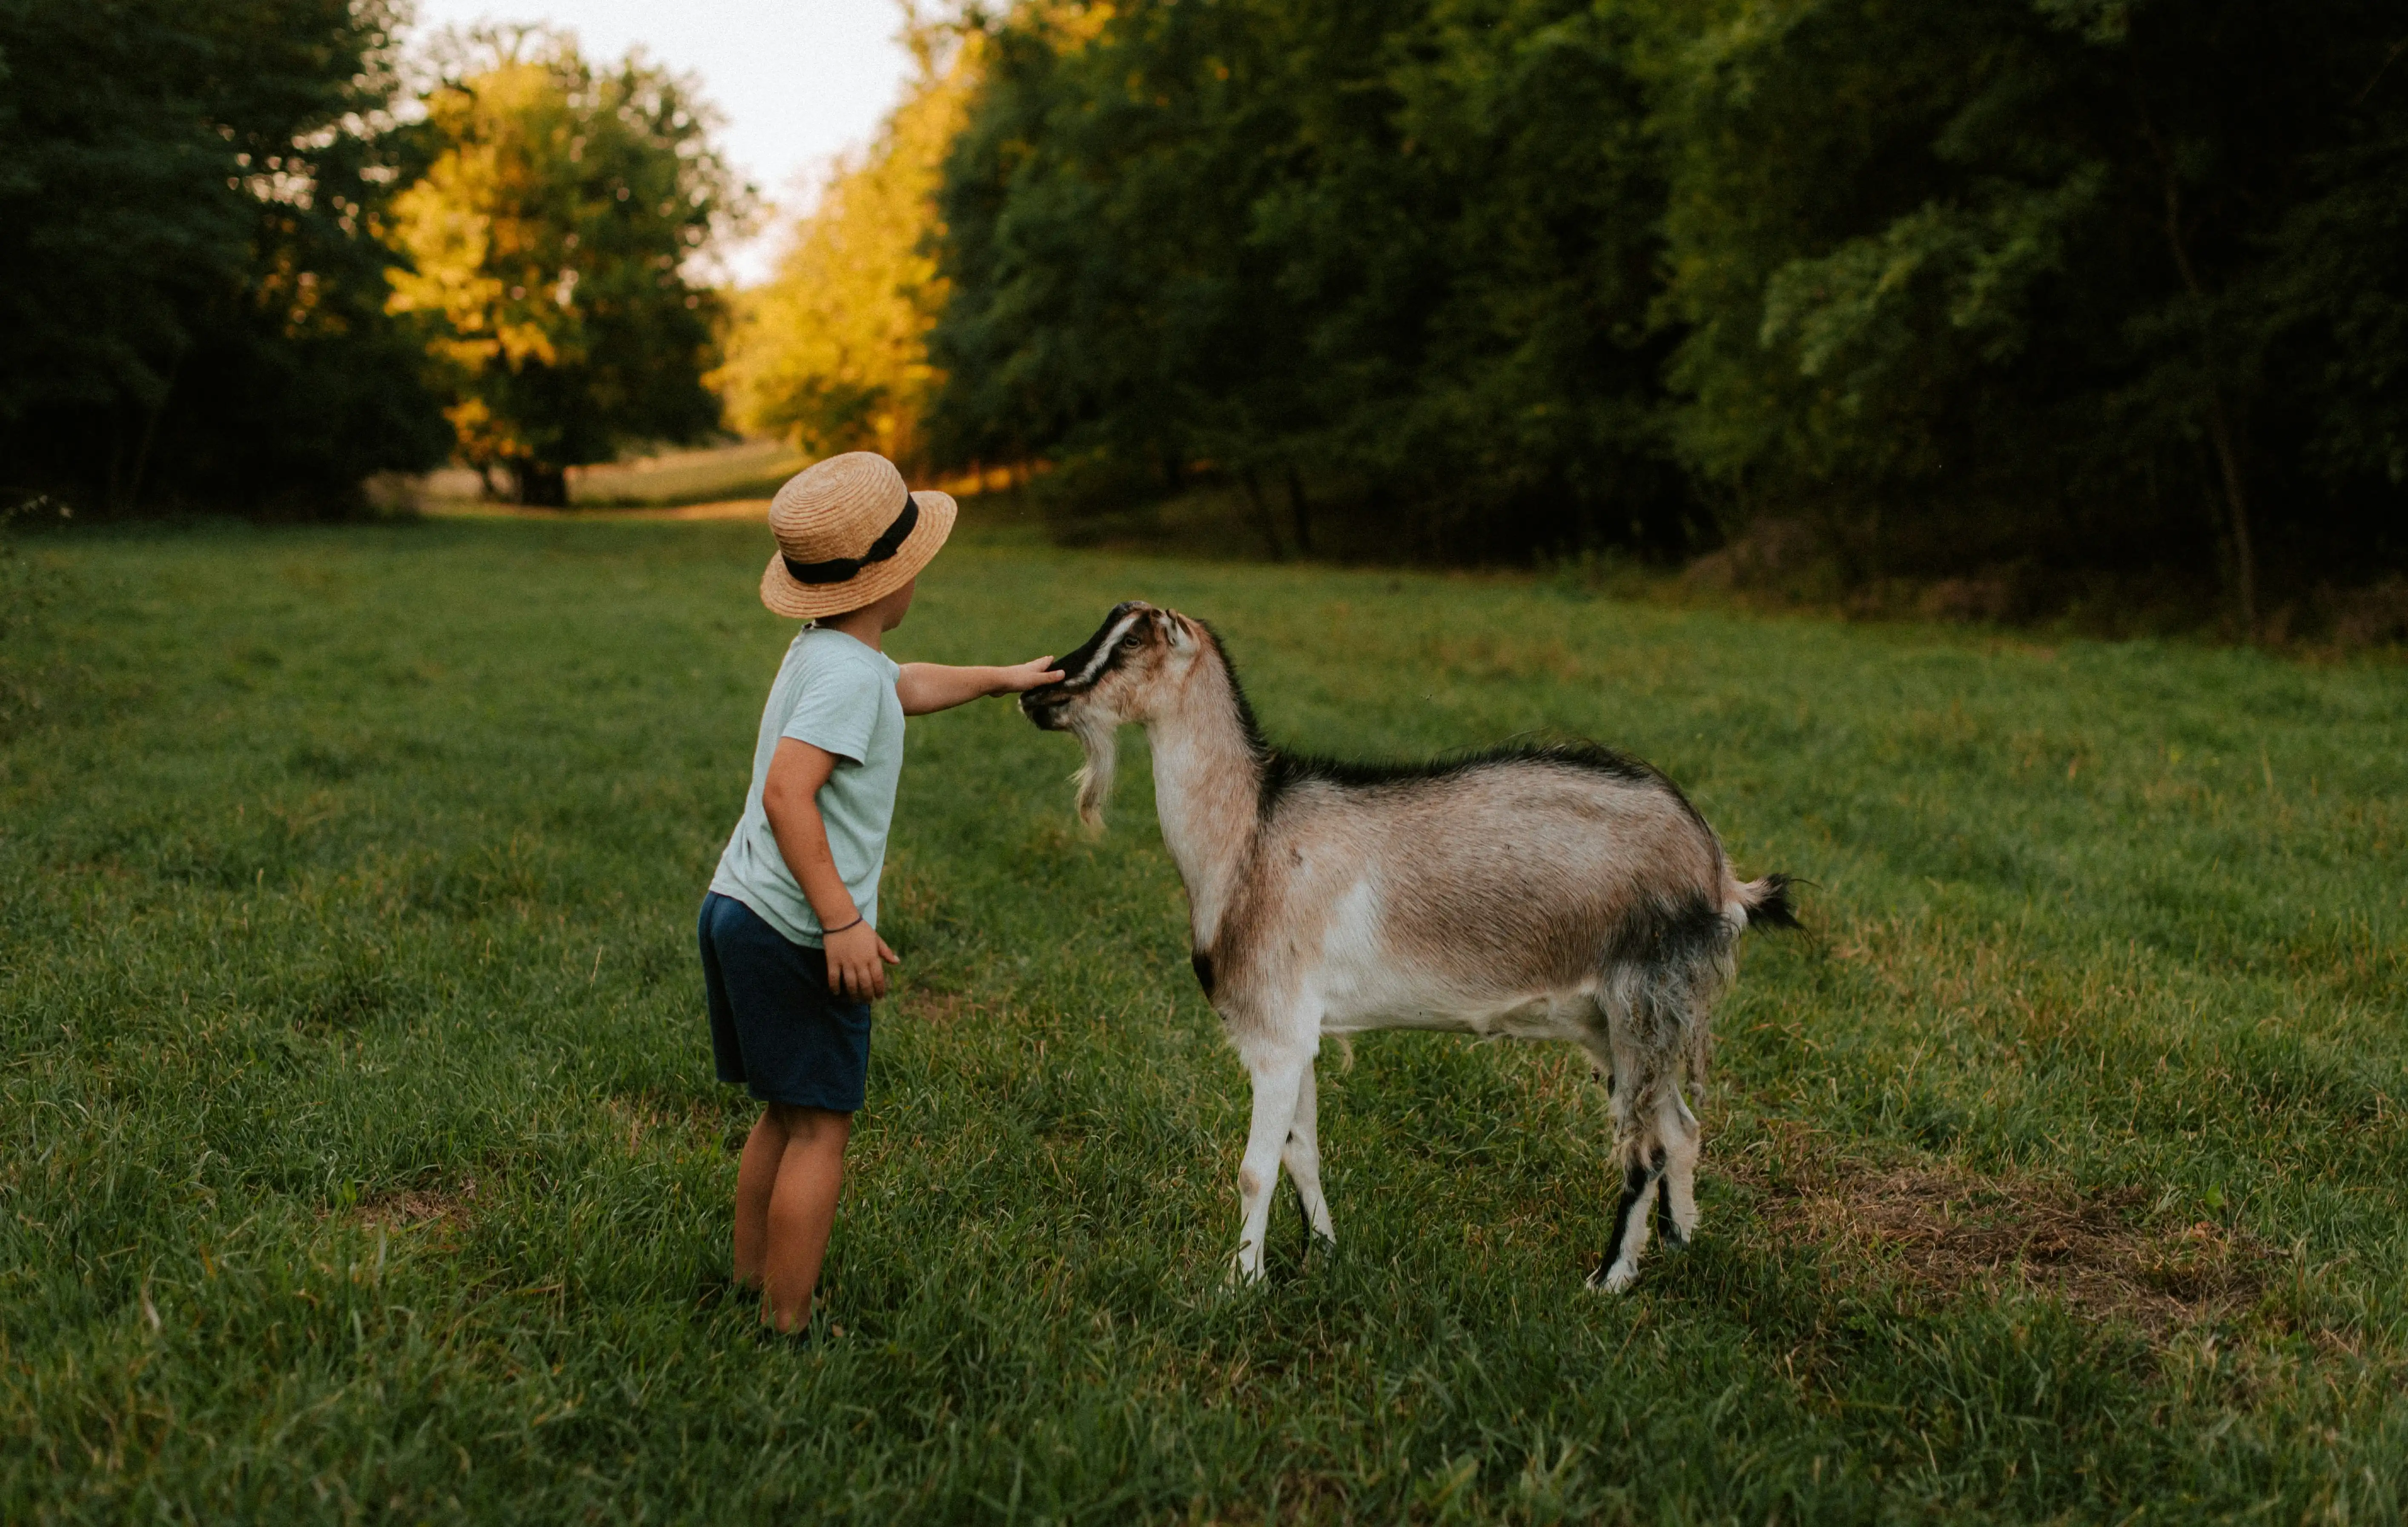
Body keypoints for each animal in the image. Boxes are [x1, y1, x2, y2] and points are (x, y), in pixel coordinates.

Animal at [1019, 602, 1799, 1291]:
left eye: (1129, 645)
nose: (1036, 695)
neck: (1250, 838)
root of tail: (1719, 873)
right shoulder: (1300, 1031)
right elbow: (1303, 1154)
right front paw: (1326, 1256)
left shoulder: (1274, 1030)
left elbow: (1255, 1168)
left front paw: (1238, 1286)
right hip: (1617, 1023)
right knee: (1681, 1128)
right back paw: (1681, 1240)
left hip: (1642, 1000)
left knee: (1643, 1146)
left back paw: (1608, 1280)